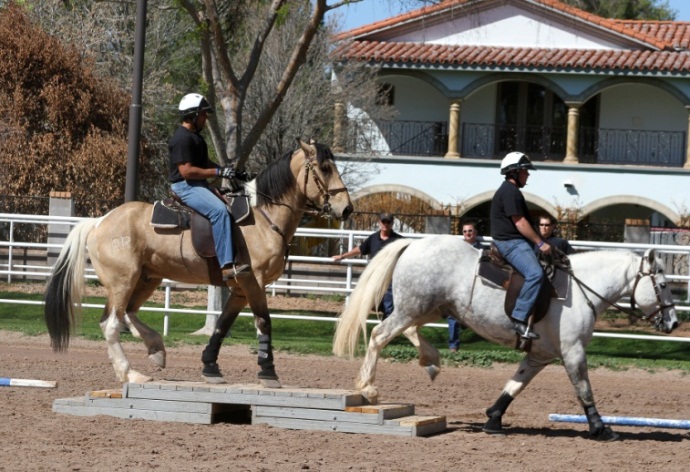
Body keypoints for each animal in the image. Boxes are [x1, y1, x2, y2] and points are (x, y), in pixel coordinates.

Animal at [45, 138, 352, 386]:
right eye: (325, 168)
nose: (347, 208)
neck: (264, 217)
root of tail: (99, 221)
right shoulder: (254, 282)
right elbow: (264, 322)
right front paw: (268, 372)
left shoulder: (239, 289)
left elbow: (222, 325)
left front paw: (210, 367)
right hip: (123, 281)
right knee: (111, 324)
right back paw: (131, 373)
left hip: (146, 279)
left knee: (128, 314)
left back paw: (156, 350)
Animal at [334, 236, 676, 442]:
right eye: (662, 285)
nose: (673, 322)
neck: (583, 288)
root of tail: (413, 244)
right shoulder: (573, 351)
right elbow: (584, 390)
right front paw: (601, 428)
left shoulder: (539, 355)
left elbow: (515, 385)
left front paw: (493, 419)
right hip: (415, 307)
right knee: (379, 335)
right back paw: (368, 387)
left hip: (428, 309)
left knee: (405, 331)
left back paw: (430, 361)